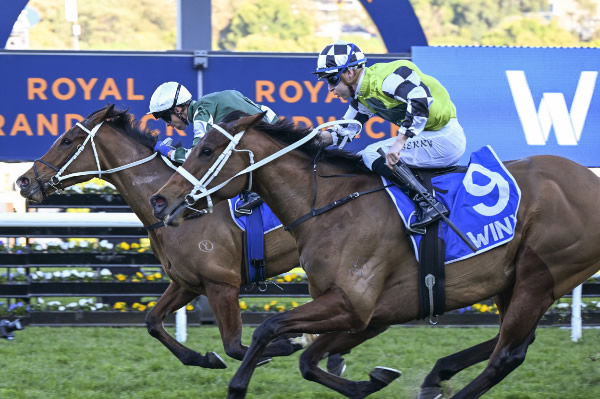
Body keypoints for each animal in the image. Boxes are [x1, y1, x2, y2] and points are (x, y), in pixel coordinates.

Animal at [15, 105, 346, 372]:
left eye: (66, 140)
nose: (23, 180)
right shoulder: (186, 283)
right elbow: (152, 322)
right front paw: (205, 358)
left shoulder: (222, 284)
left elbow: (235, 345)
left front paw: (289, 343)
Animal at [151, 112, 600, 399]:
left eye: (207, 150)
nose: (160, 200)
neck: (330, 205)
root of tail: (588, 179)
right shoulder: (368, 314)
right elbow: (309, 359)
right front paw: (372, 381)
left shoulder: (353, 303)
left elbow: (269, 329)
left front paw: (238, 384)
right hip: (512, 279)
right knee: (511, 340)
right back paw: (436, 375)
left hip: (540, 275)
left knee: (507, 354)